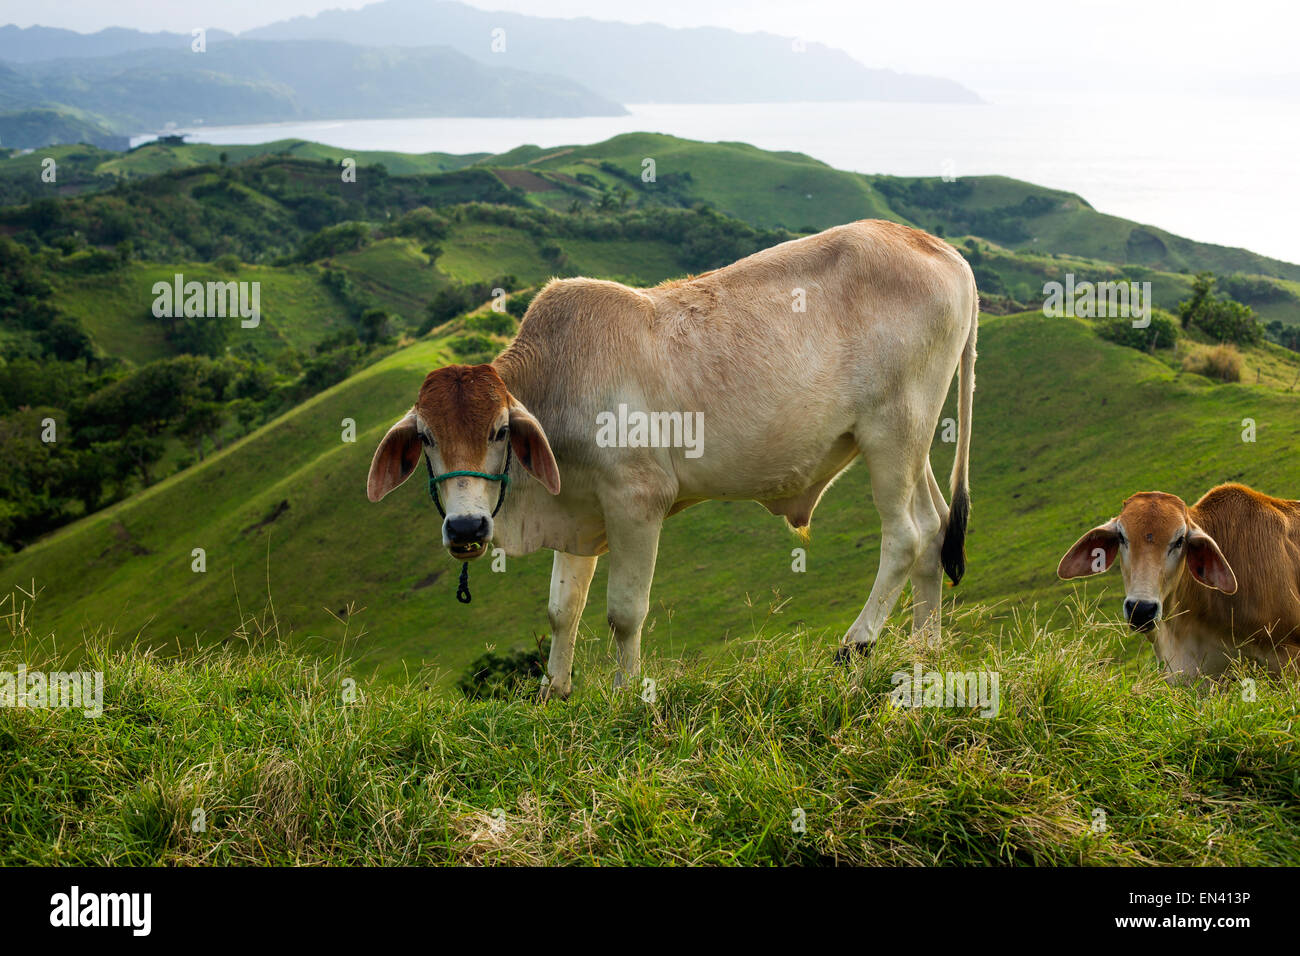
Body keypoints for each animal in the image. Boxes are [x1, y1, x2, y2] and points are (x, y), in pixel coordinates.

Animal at [366, 218, 977, 697]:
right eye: (426, 438)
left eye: (498, 432)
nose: (466, 527)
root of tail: (940, 249)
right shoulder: (578, 507)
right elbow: (563, 608)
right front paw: (553, 692)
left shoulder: (637, 501)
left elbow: (623, 611)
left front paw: (625, 693)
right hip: (915, 437)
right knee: (934, 529)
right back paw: (923, 655)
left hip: (892, 431)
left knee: (905, 537)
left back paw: (858, 643)